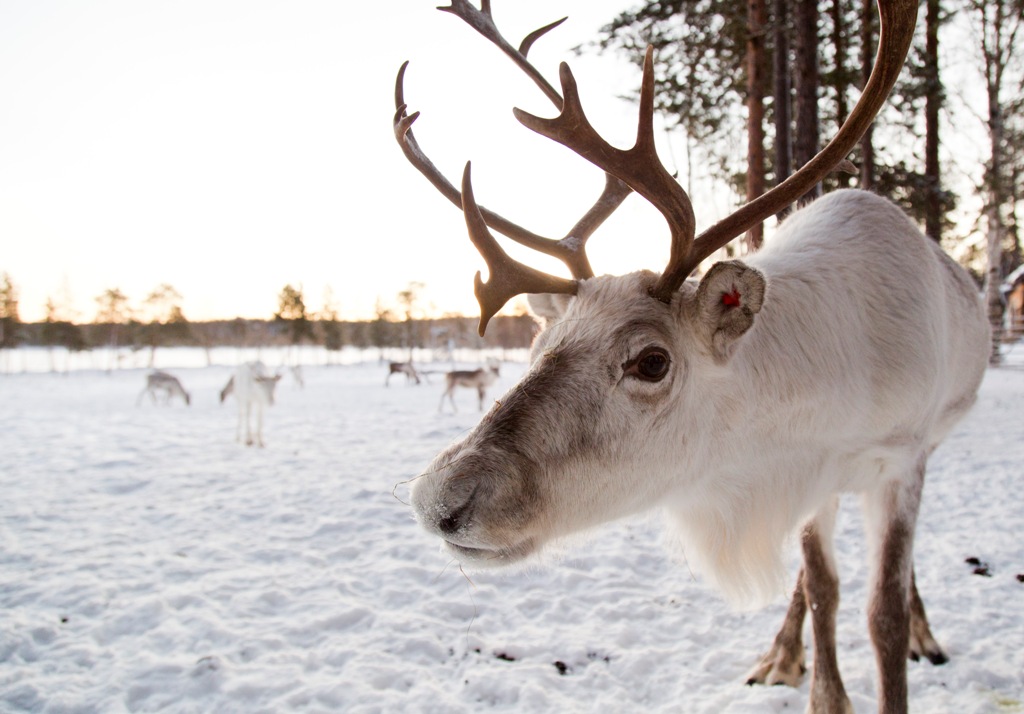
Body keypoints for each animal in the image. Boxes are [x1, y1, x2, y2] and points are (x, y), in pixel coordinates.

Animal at [394, 2, 990, 713]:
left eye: (652, 361)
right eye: (538, 346)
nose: (437, 499)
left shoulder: (901, 461)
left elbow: (885, 615)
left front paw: (904, 640)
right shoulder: (809, 476)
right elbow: (823, 591)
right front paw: (819, 687)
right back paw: (781, 654)